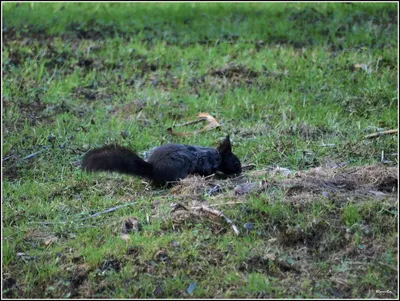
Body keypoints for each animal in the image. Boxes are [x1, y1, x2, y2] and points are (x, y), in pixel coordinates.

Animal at [82, 135, 241, 184]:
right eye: (236, 162)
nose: (240, 171)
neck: (217, 156)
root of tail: (153, 169)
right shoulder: (206, 162)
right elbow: (207, 171)